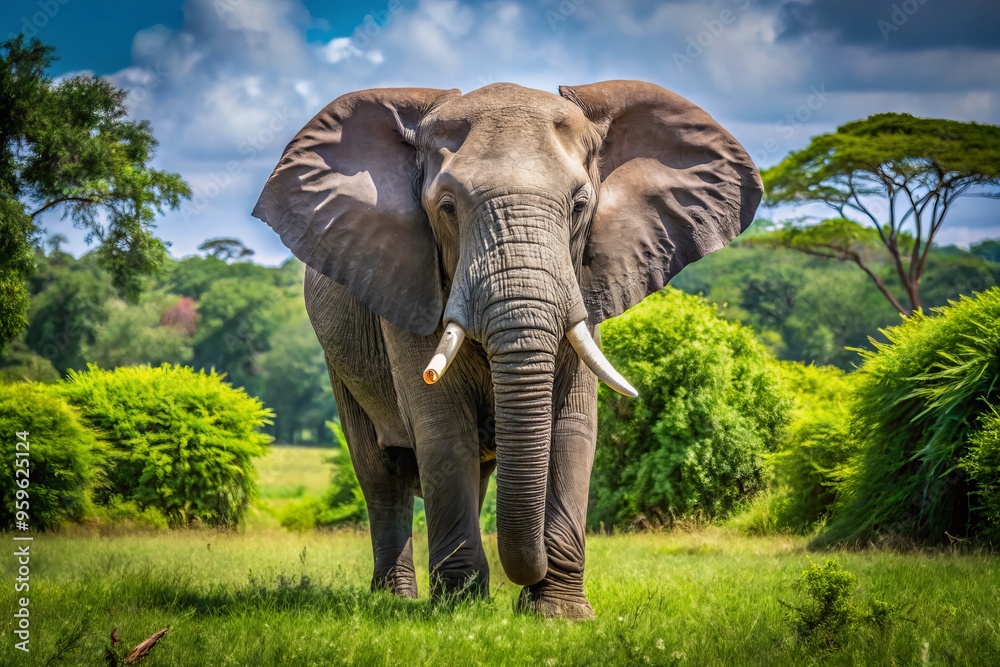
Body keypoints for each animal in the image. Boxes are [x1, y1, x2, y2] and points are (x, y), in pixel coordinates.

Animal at [252, 80, 761, 619]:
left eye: (580, 205)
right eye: (447, 207)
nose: (525, 584)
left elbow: (572, 428)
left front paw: (557, 614)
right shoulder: (410, 283)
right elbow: (442, 429)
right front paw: (460, 611)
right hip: (339, 356)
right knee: (382, 474)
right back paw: (399, 598)